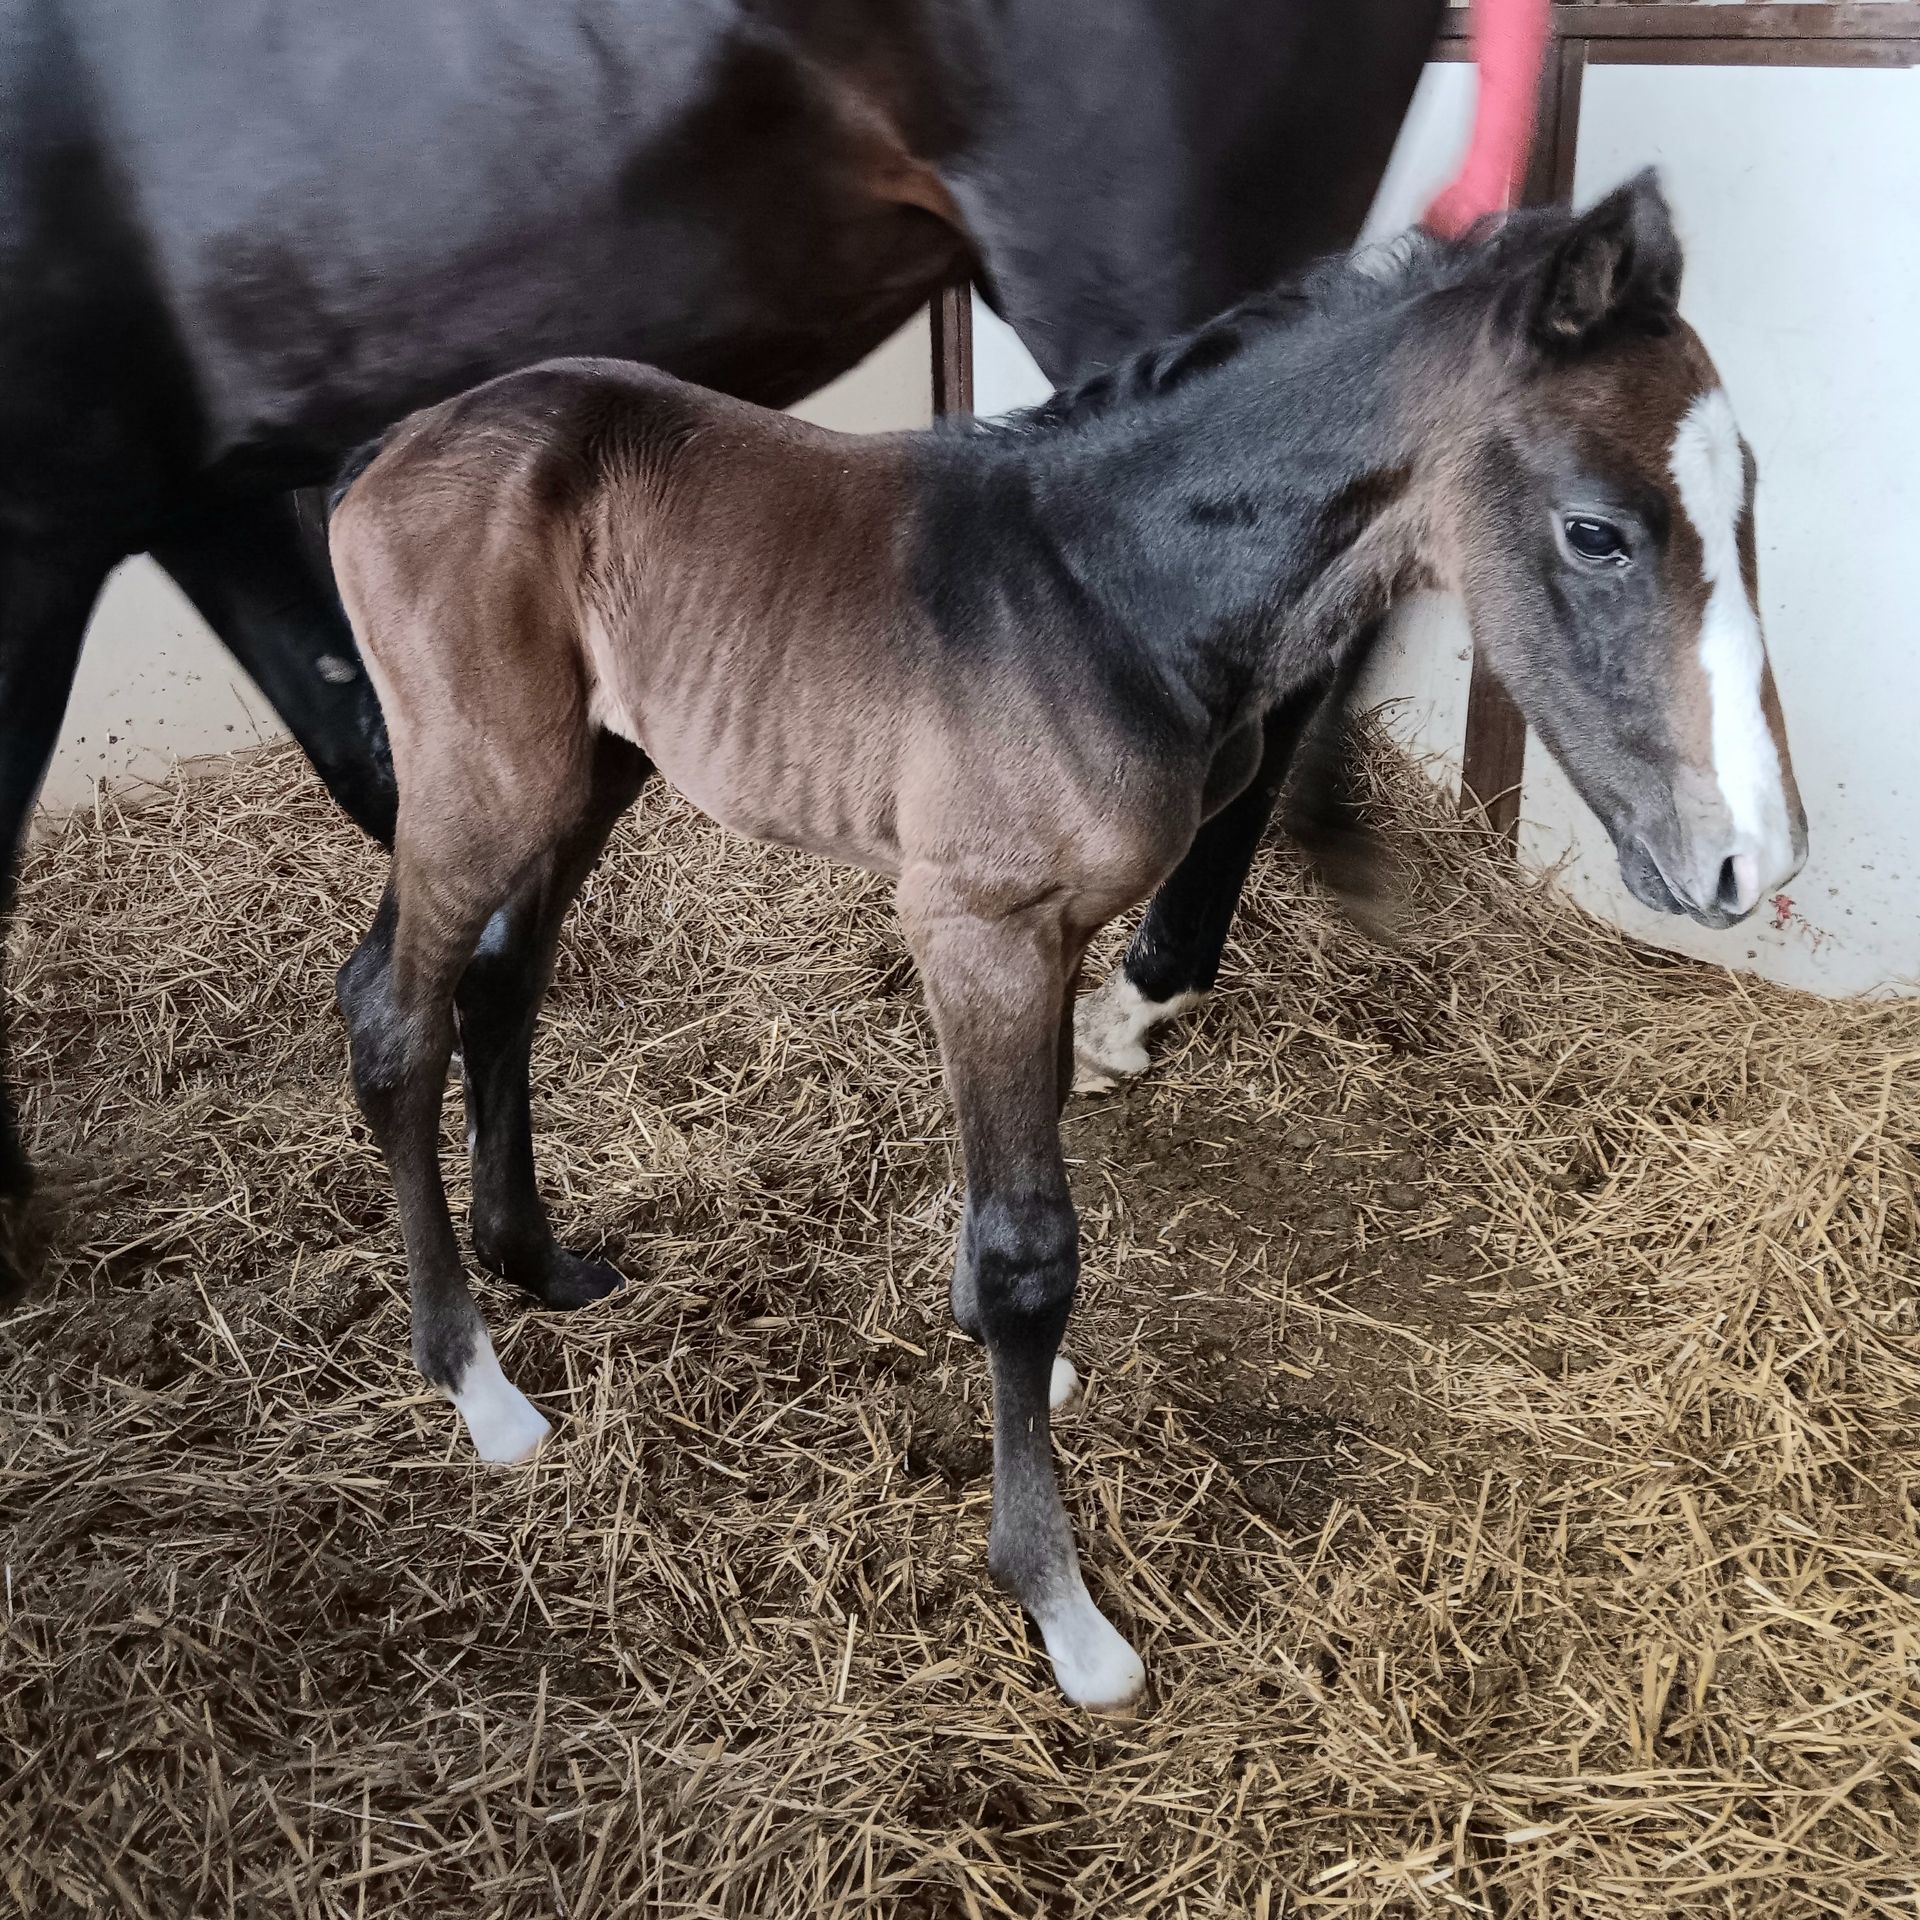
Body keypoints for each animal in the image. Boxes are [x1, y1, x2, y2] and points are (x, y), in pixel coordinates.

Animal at [327, 174, 1806, 1710]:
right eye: (1597, 532)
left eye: (1747, 500)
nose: (1748, 860)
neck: (1103, 596)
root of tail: (393, 447)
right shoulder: (974, 925)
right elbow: (1032, 1246)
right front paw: (1061, 1605)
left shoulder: (1060, 933)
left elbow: (1022, 1171)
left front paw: (1015, 1368)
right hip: (486, 785)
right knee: (392, 1013)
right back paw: (481, 1388)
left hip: (591, 770)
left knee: (503, 983)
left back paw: (541, 1266)